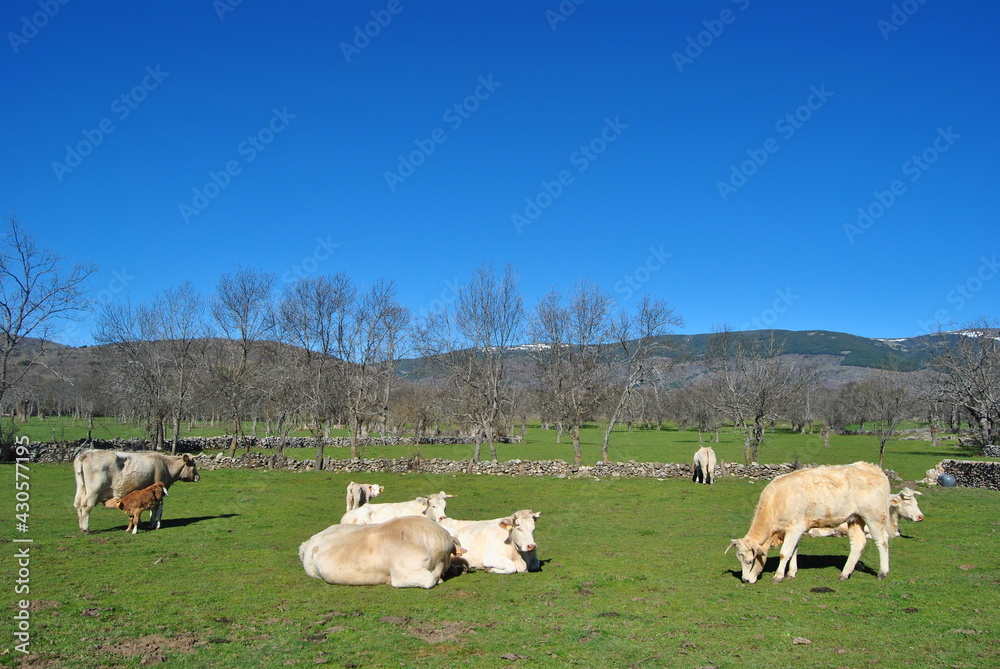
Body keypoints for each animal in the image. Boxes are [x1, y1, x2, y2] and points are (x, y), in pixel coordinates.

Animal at [726, 461, 891, 584]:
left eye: (749, 561)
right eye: (739, 559)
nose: (745, 580)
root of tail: (873, 468)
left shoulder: (794, 528)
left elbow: (784, 553)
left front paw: (778, 576)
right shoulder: (794, 530)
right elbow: (793, 552)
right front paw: (791, 573)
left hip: (874, 517)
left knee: (882, 541)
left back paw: (882, 572)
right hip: (855, 518)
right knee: (858, 544)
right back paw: (844, 574)